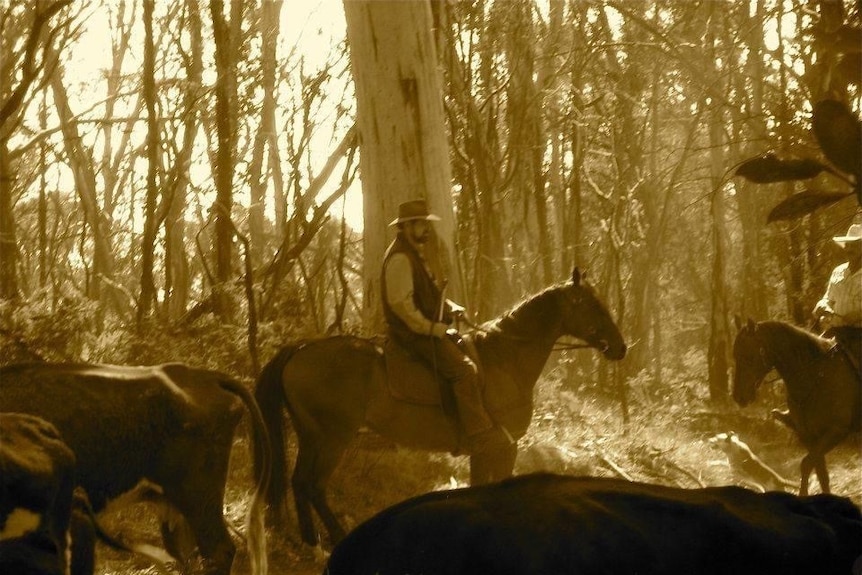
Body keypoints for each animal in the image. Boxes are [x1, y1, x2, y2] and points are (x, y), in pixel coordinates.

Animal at [253, 268, 624, 548]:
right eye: (593, 305)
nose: (621, 348)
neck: (505, 360)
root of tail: (301, 348)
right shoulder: (503, 448)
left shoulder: (486, 451)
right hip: (333, 439)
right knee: (314, 485)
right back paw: (334, 537)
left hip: (311, 437)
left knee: (300, 482)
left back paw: (310, 541)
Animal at [732, 318, 860, 498]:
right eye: (735, 355)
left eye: (748, 356)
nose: (739, 397)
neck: (817, 376)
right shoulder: (809, 436)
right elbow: (821, 473)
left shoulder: (836, 431)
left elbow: (806, 464)